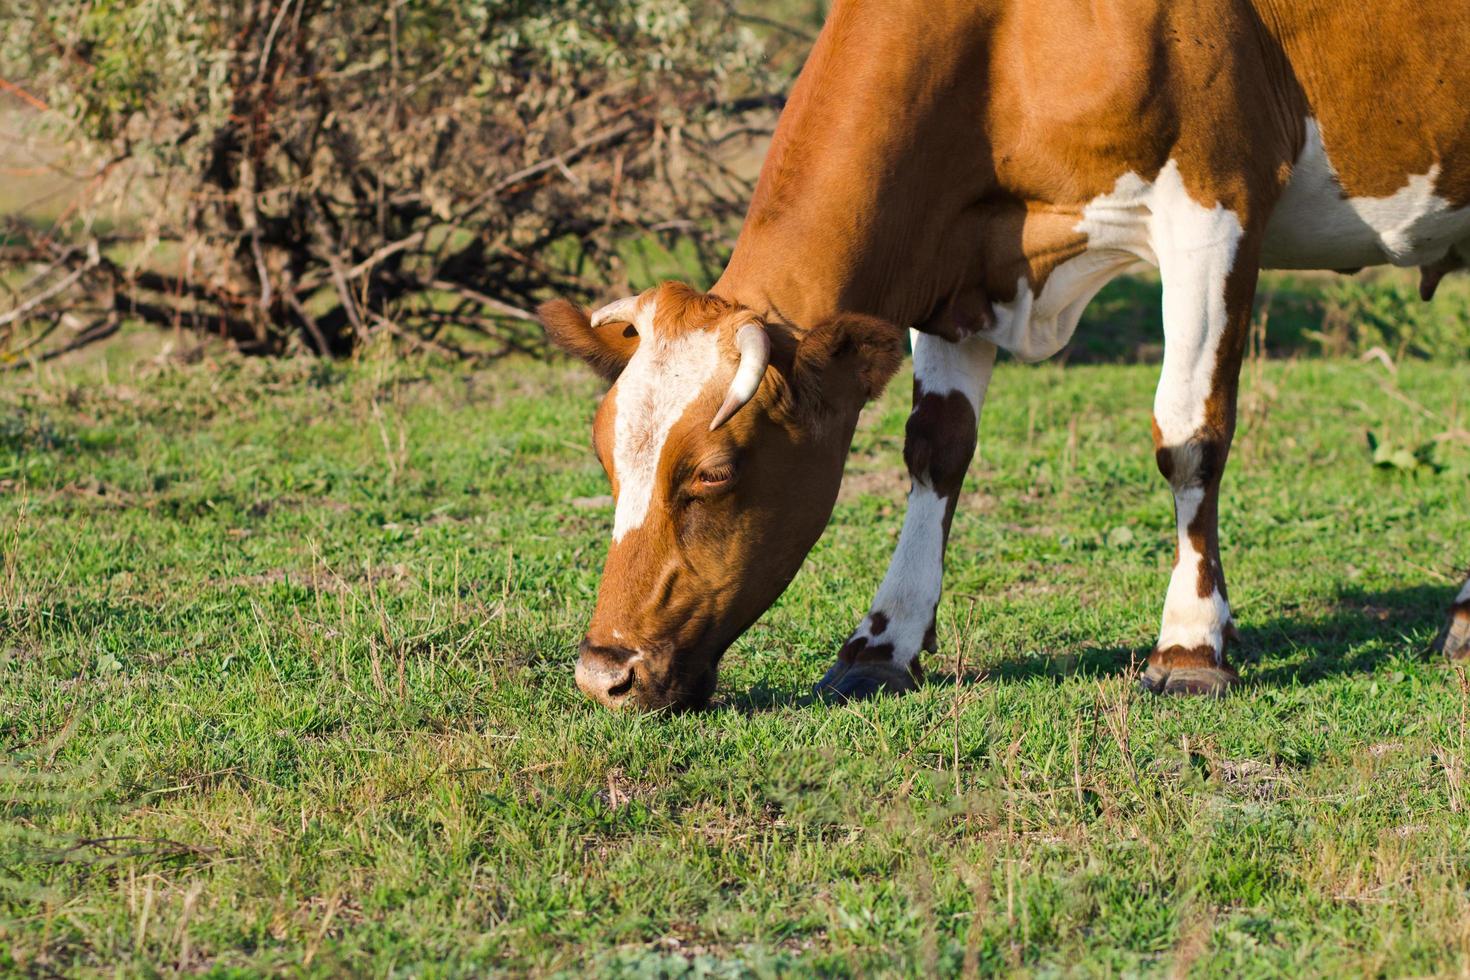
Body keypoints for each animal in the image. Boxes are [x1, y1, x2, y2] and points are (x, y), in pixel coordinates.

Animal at [540, 0, 1470, 708]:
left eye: (713, 474)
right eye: (605, 460)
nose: (602, 674)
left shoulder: (1215, 204)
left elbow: (1189, 434)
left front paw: (1191, 646)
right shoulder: (961, 261)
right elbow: (936, 451)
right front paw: (882, 643)